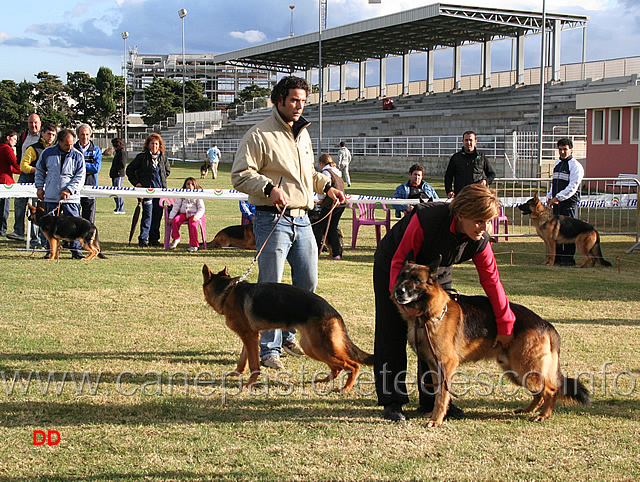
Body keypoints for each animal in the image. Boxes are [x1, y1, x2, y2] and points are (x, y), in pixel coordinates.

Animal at [202, 264, 372, 392]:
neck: (228, 291)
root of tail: (334, 312)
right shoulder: (250, 337)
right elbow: (243, 359)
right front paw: (237, 373)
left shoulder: (249, 336)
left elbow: (254, 364)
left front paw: (249, 384)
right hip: (312, 347)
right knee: (337, 367)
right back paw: (323, 380)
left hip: (318, 347)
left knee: (353, 365)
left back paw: (345, 388)